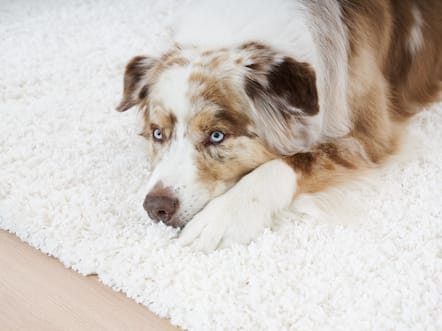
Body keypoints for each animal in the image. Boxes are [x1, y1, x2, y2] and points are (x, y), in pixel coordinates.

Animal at [115, 1, 440, 253]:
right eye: (157, 133)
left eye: (217, 136)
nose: (156, 207)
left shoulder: (370, 136)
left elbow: (289, 162)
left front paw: (219, 219)